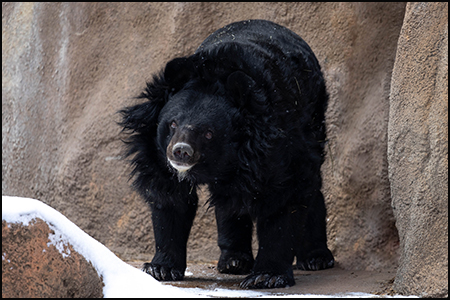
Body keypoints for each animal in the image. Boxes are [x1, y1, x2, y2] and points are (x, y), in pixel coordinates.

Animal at [119, 19, 334, 288]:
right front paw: (160, 268)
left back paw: (316, 258)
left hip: (314, 121)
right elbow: (171, 200)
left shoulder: (276, 146)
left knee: (309, 188)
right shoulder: (154, 152)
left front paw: (267, 276)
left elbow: (284, 200)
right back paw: (234, 261)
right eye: (173, 124)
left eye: (209, 133)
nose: (181, 151)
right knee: (230, 203)